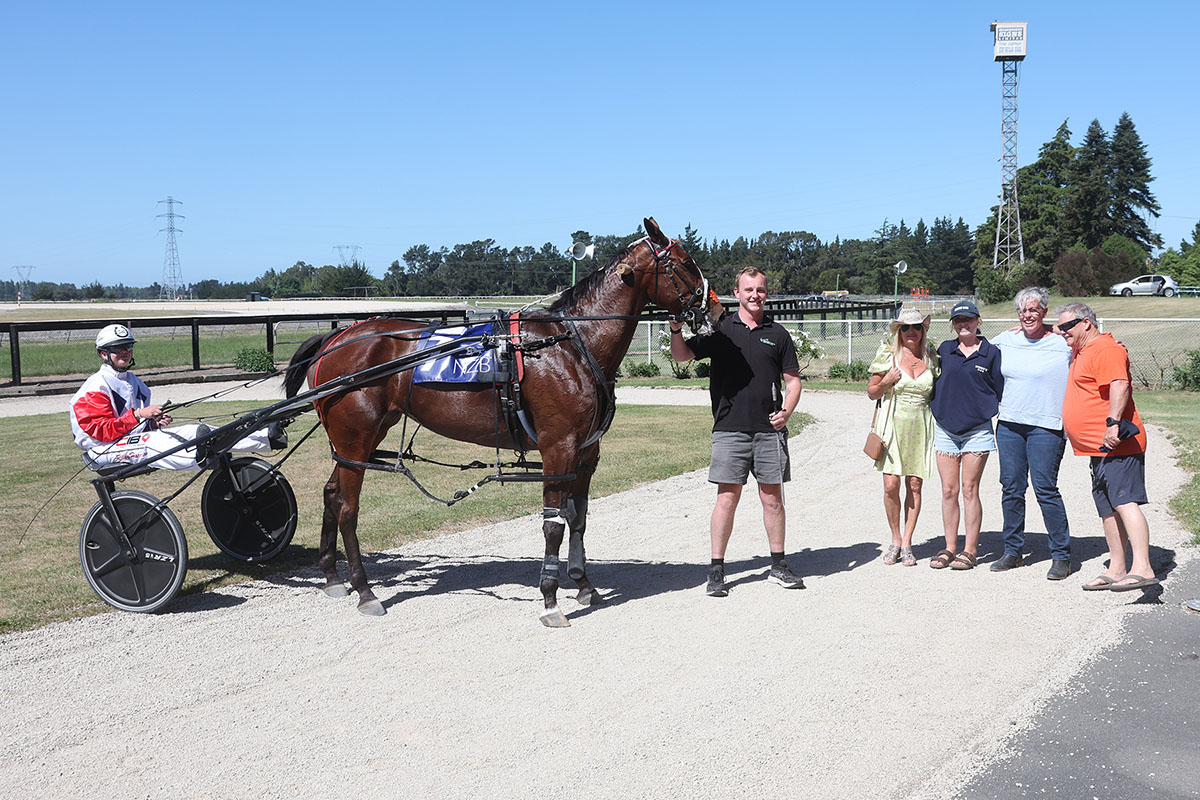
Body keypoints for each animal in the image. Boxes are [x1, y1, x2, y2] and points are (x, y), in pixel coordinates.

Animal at [283, 217, 722, 626]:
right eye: (686, 263)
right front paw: (550, 599)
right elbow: (553, 525)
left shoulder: (586, 452)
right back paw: (365, 590)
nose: (716, 309)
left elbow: (578, 519)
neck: (569, 345)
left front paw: (582, 583)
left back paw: (332, 578)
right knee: (347, 509)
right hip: (355, 437)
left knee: (331, 493)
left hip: (358, 440)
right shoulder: (558, 448)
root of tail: (338, 338)